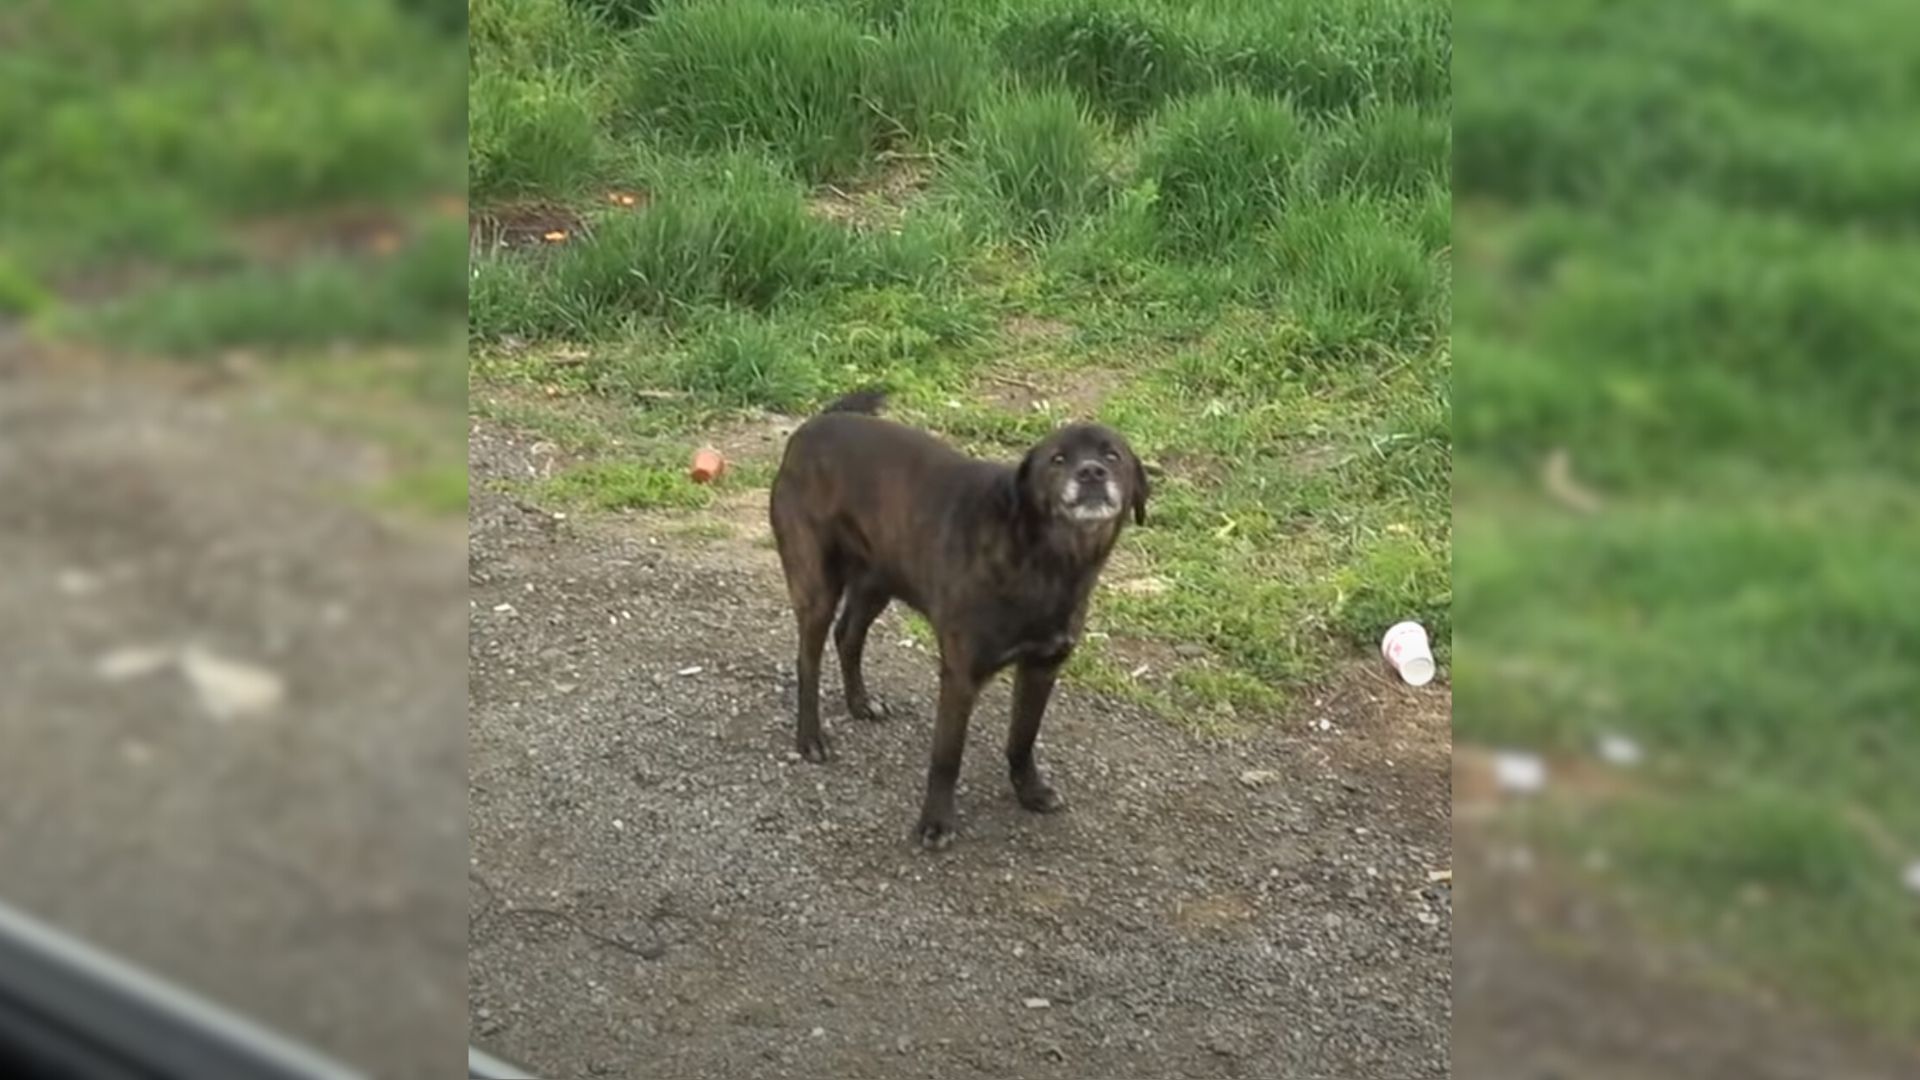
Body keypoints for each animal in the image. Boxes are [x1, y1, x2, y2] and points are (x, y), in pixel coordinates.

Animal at [771, 390, 1144, 845]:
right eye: (1057, 459)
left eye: (1112, 455)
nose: (1091, 472)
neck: (1047, 559)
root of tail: (810, 428)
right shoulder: (962, 674)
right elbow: (947, 755)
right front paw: (935, 822)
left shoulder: (1041, 667)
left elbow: (1023, 739)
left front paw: (1030, 791)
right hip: (818, 588)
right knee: (809, 659)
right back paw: (810, 738)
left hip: (879, 579)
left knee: (848, 635)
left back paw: (860, 703)